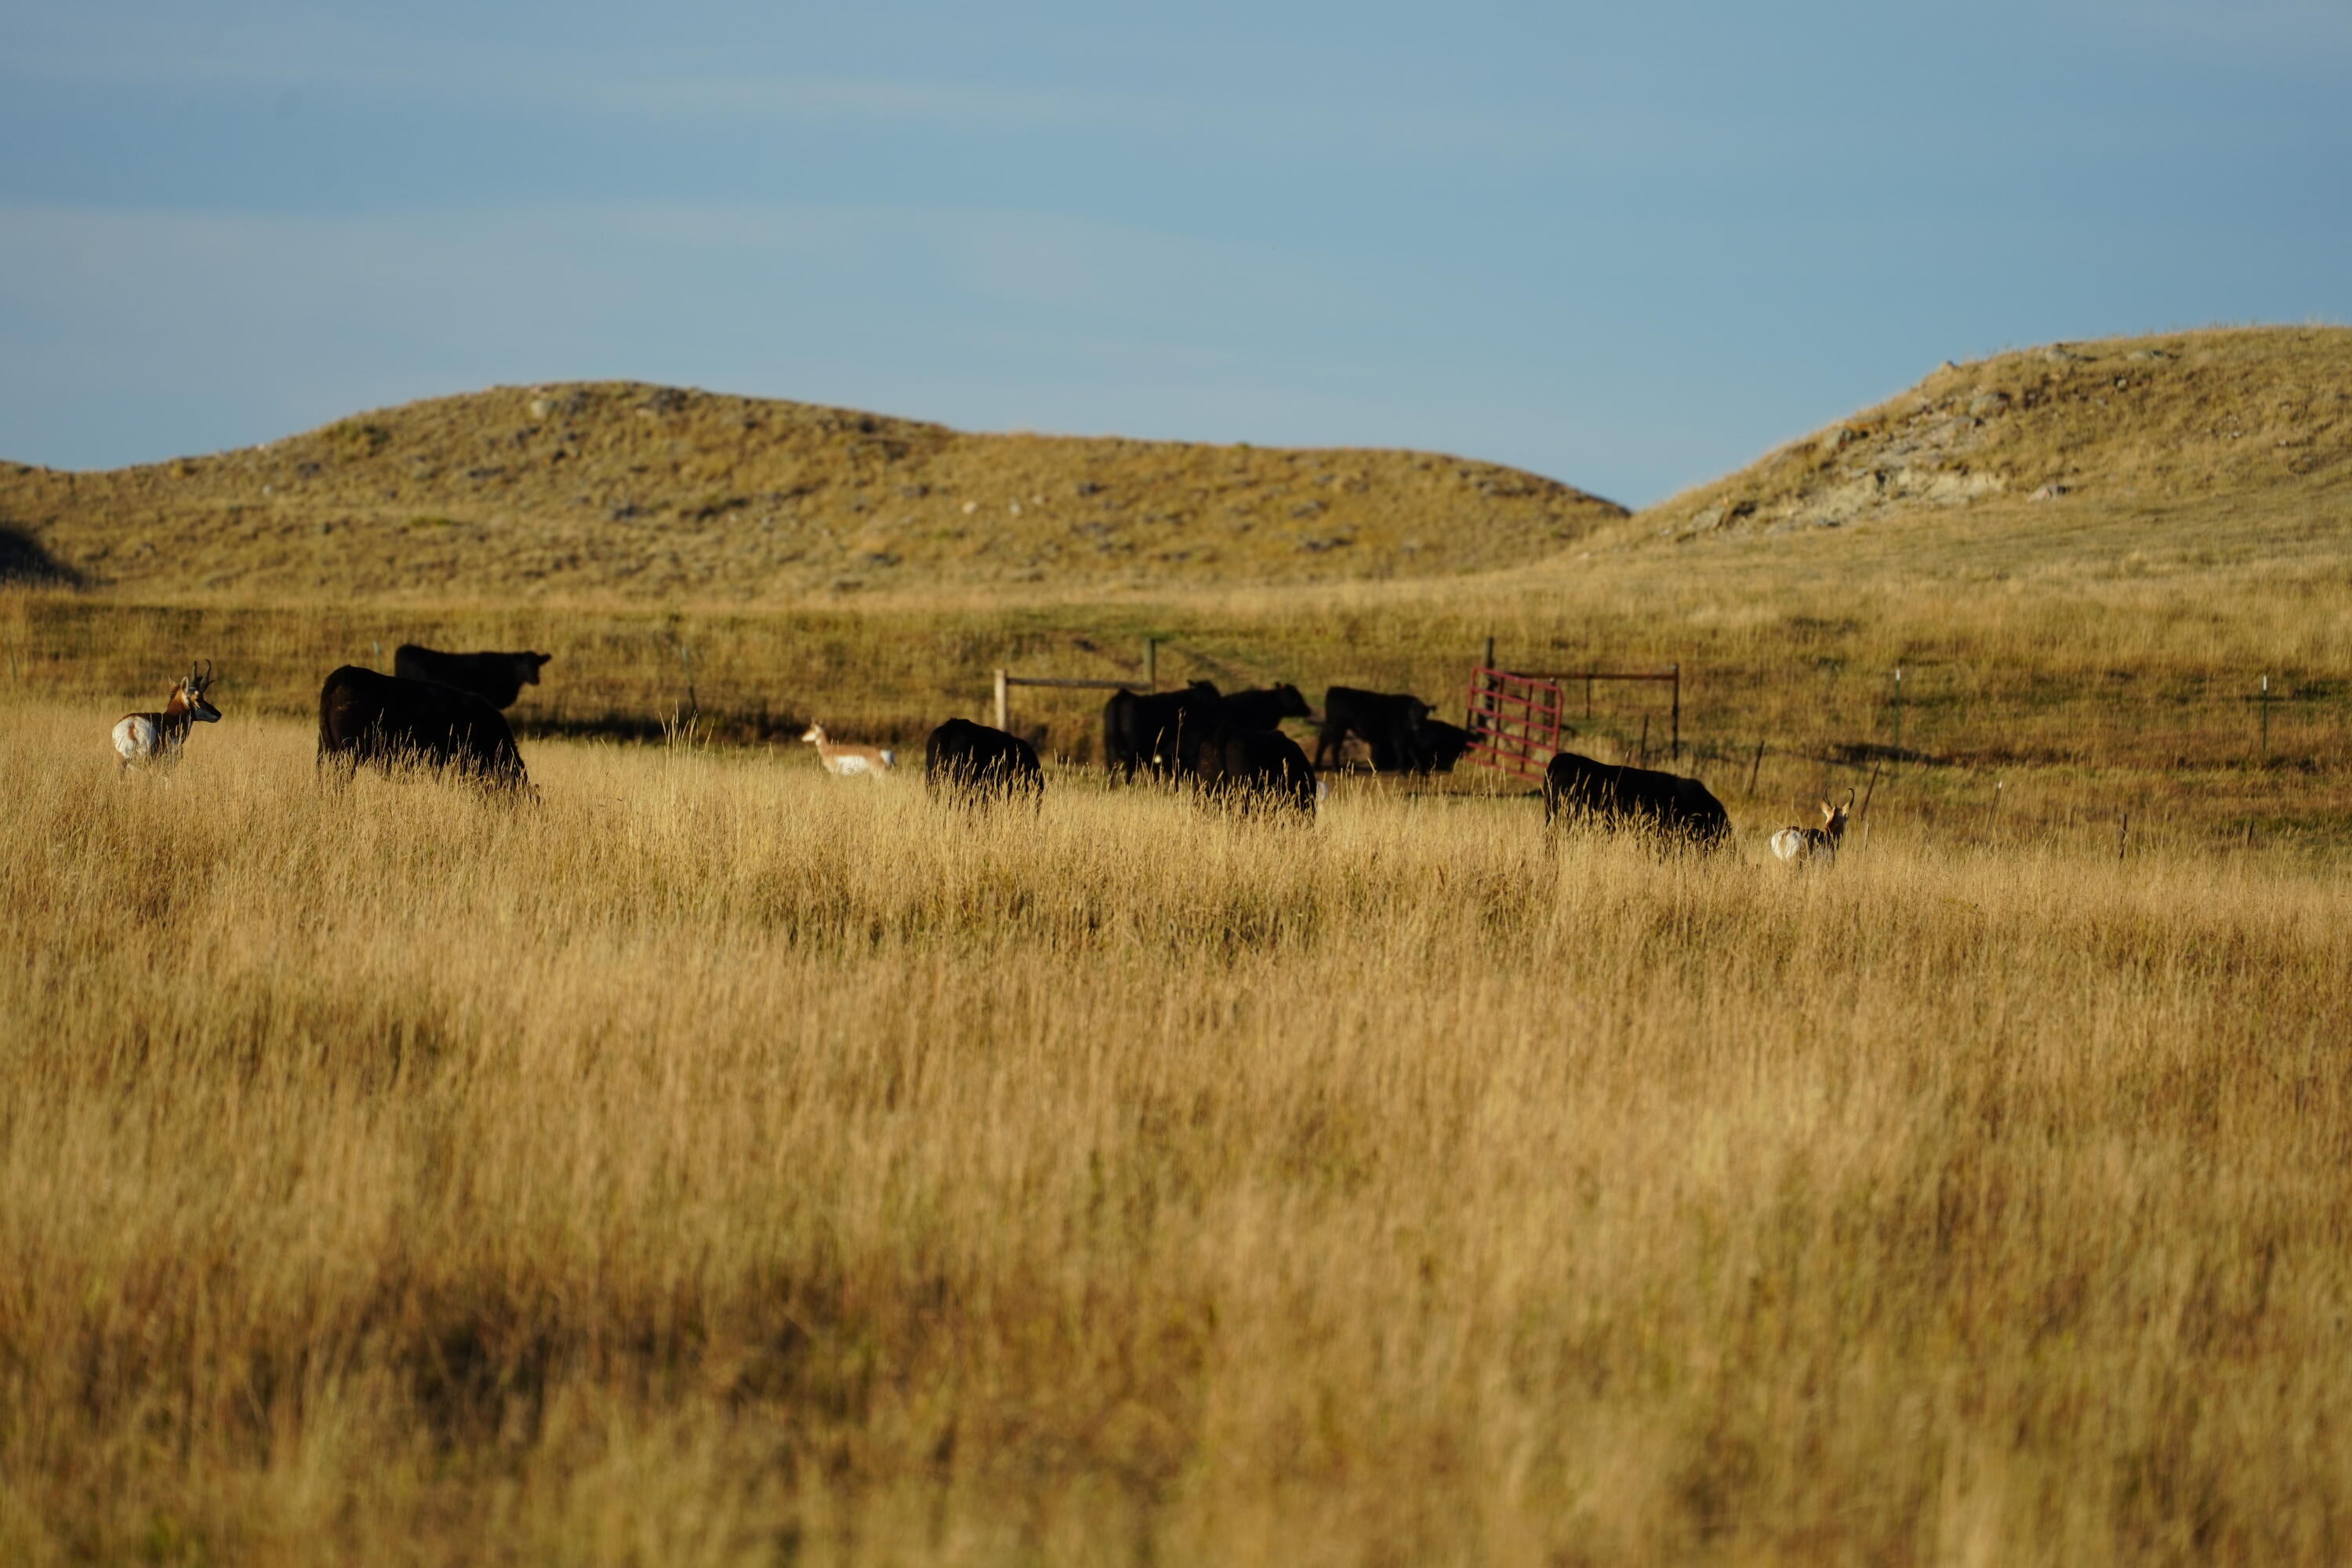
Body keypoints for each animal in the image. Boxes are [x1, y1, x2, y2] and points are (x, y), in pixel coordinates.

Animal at [1315, 686, 1431, 772]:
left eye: (1423, 715)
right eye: (1412, 714)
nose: (1416, 727)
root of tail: (1334, 689)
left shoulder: (1408, 737)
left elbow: (1413, 752)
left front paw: (1422, 771)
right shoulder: (1398, 736)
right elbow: (1401, 751)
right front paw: (1402, 771)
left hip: (1331, 725)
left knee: (1323, 741)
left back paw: (1317, 766)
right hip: (1339, 727)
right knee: (1335, 745)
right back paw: (1336, 768)